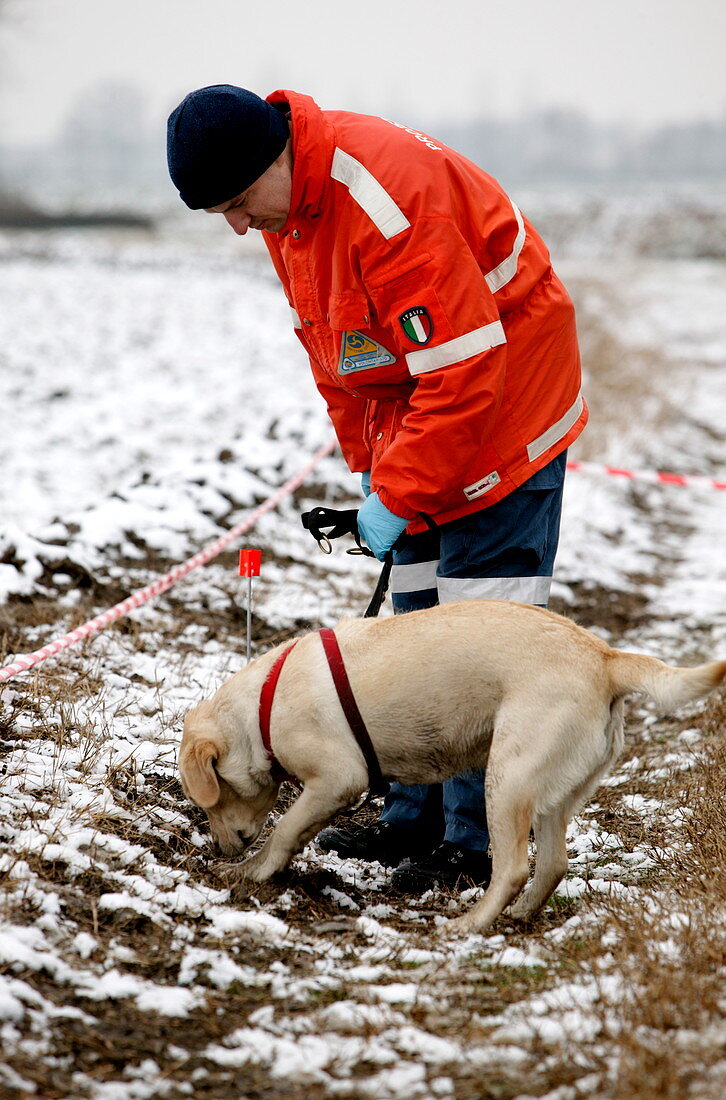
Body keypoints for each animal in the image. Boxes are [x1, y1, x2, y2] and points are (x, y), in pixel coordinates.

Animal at [178, 598, 721, 932]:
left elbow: (287, 829)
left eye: (211, 798)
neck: (262, 709)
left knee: (513, 868)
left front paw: (255, 870)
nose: (221, 847)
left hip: (506, 778)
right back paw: (520, 915)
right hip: (552, 793)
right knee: (552, 865)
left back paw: (471, 923)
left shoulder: (339, 778)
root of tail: (605, 657)